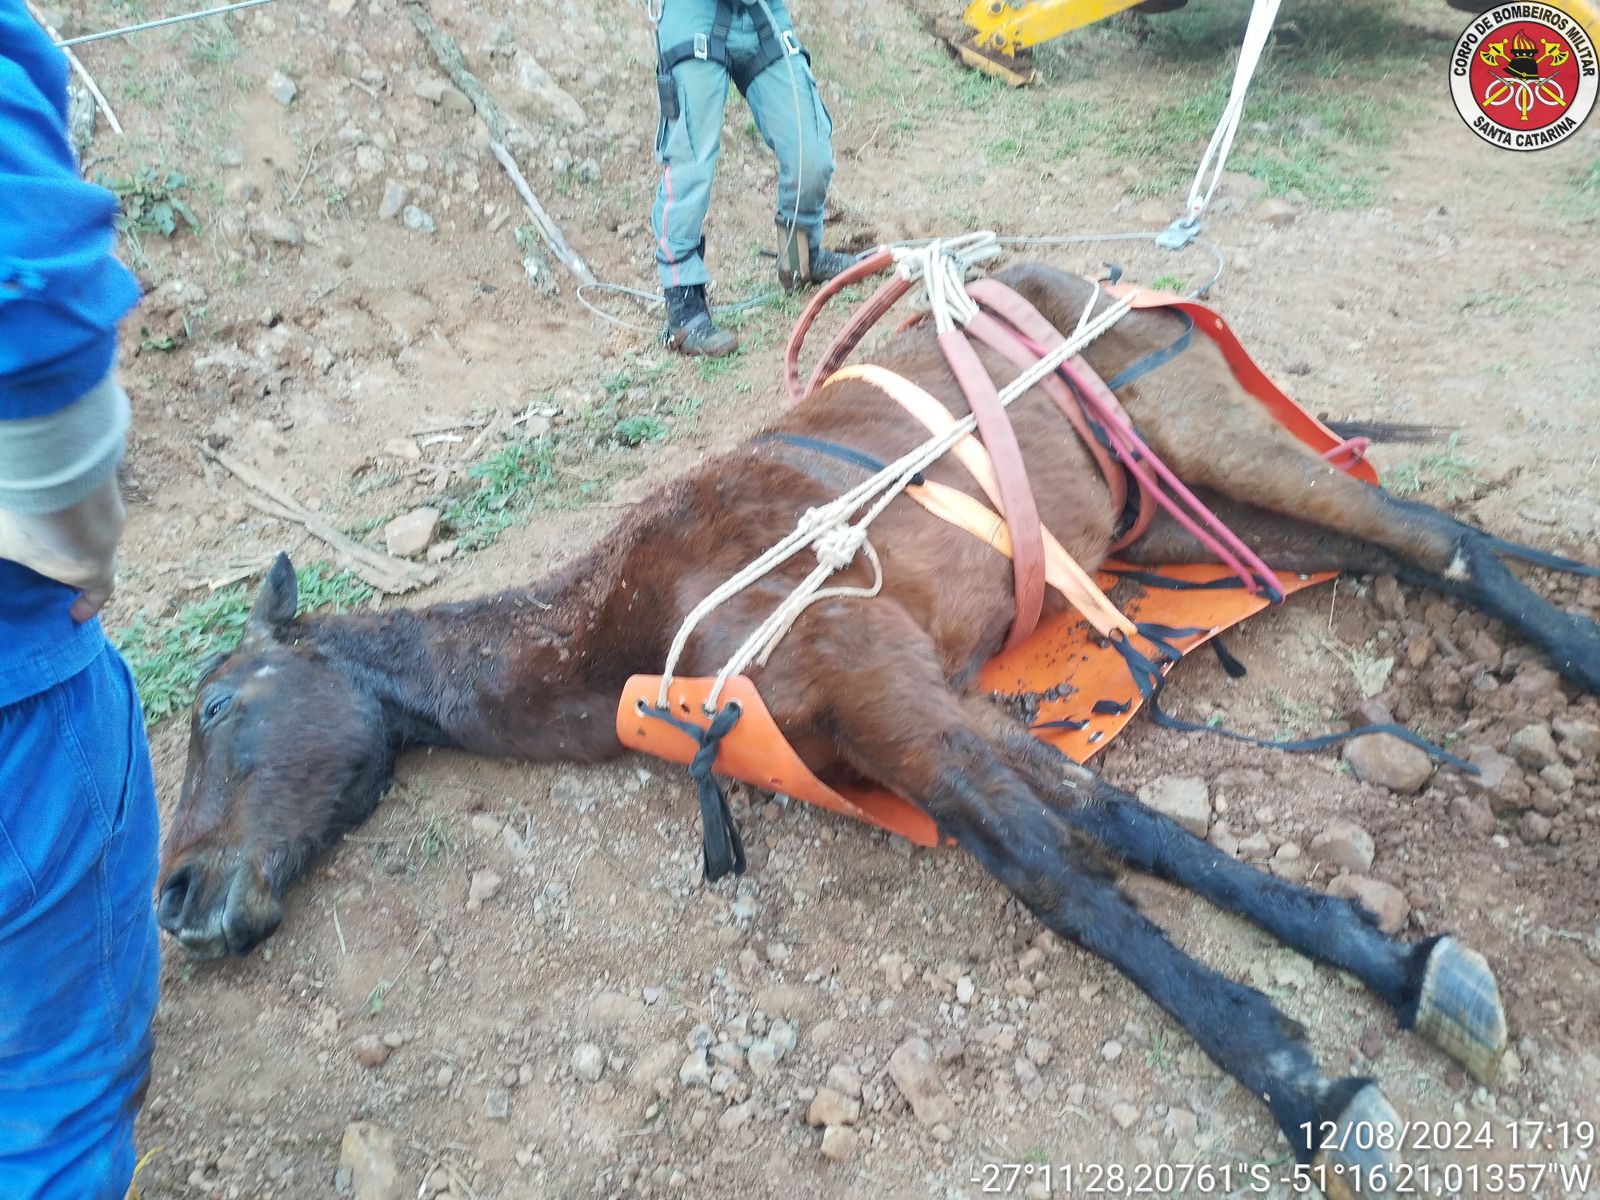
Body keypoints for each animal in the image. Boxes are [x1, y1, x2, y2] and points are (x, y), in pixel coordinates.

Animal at [159, 265, 1600, 1196]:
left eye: (217, 709)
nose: (178, 899)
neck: (641, 623)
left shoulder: (882, 689)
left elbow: (1061, 882)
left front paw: (1299, 1081)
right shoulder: (910, 714)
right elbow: (1116, 826)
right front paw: (1383, 961)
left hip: (1208, 439)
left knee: (1438, 539)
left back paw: (1575, 656)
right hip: (1174, 517)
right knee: (1401, 550)